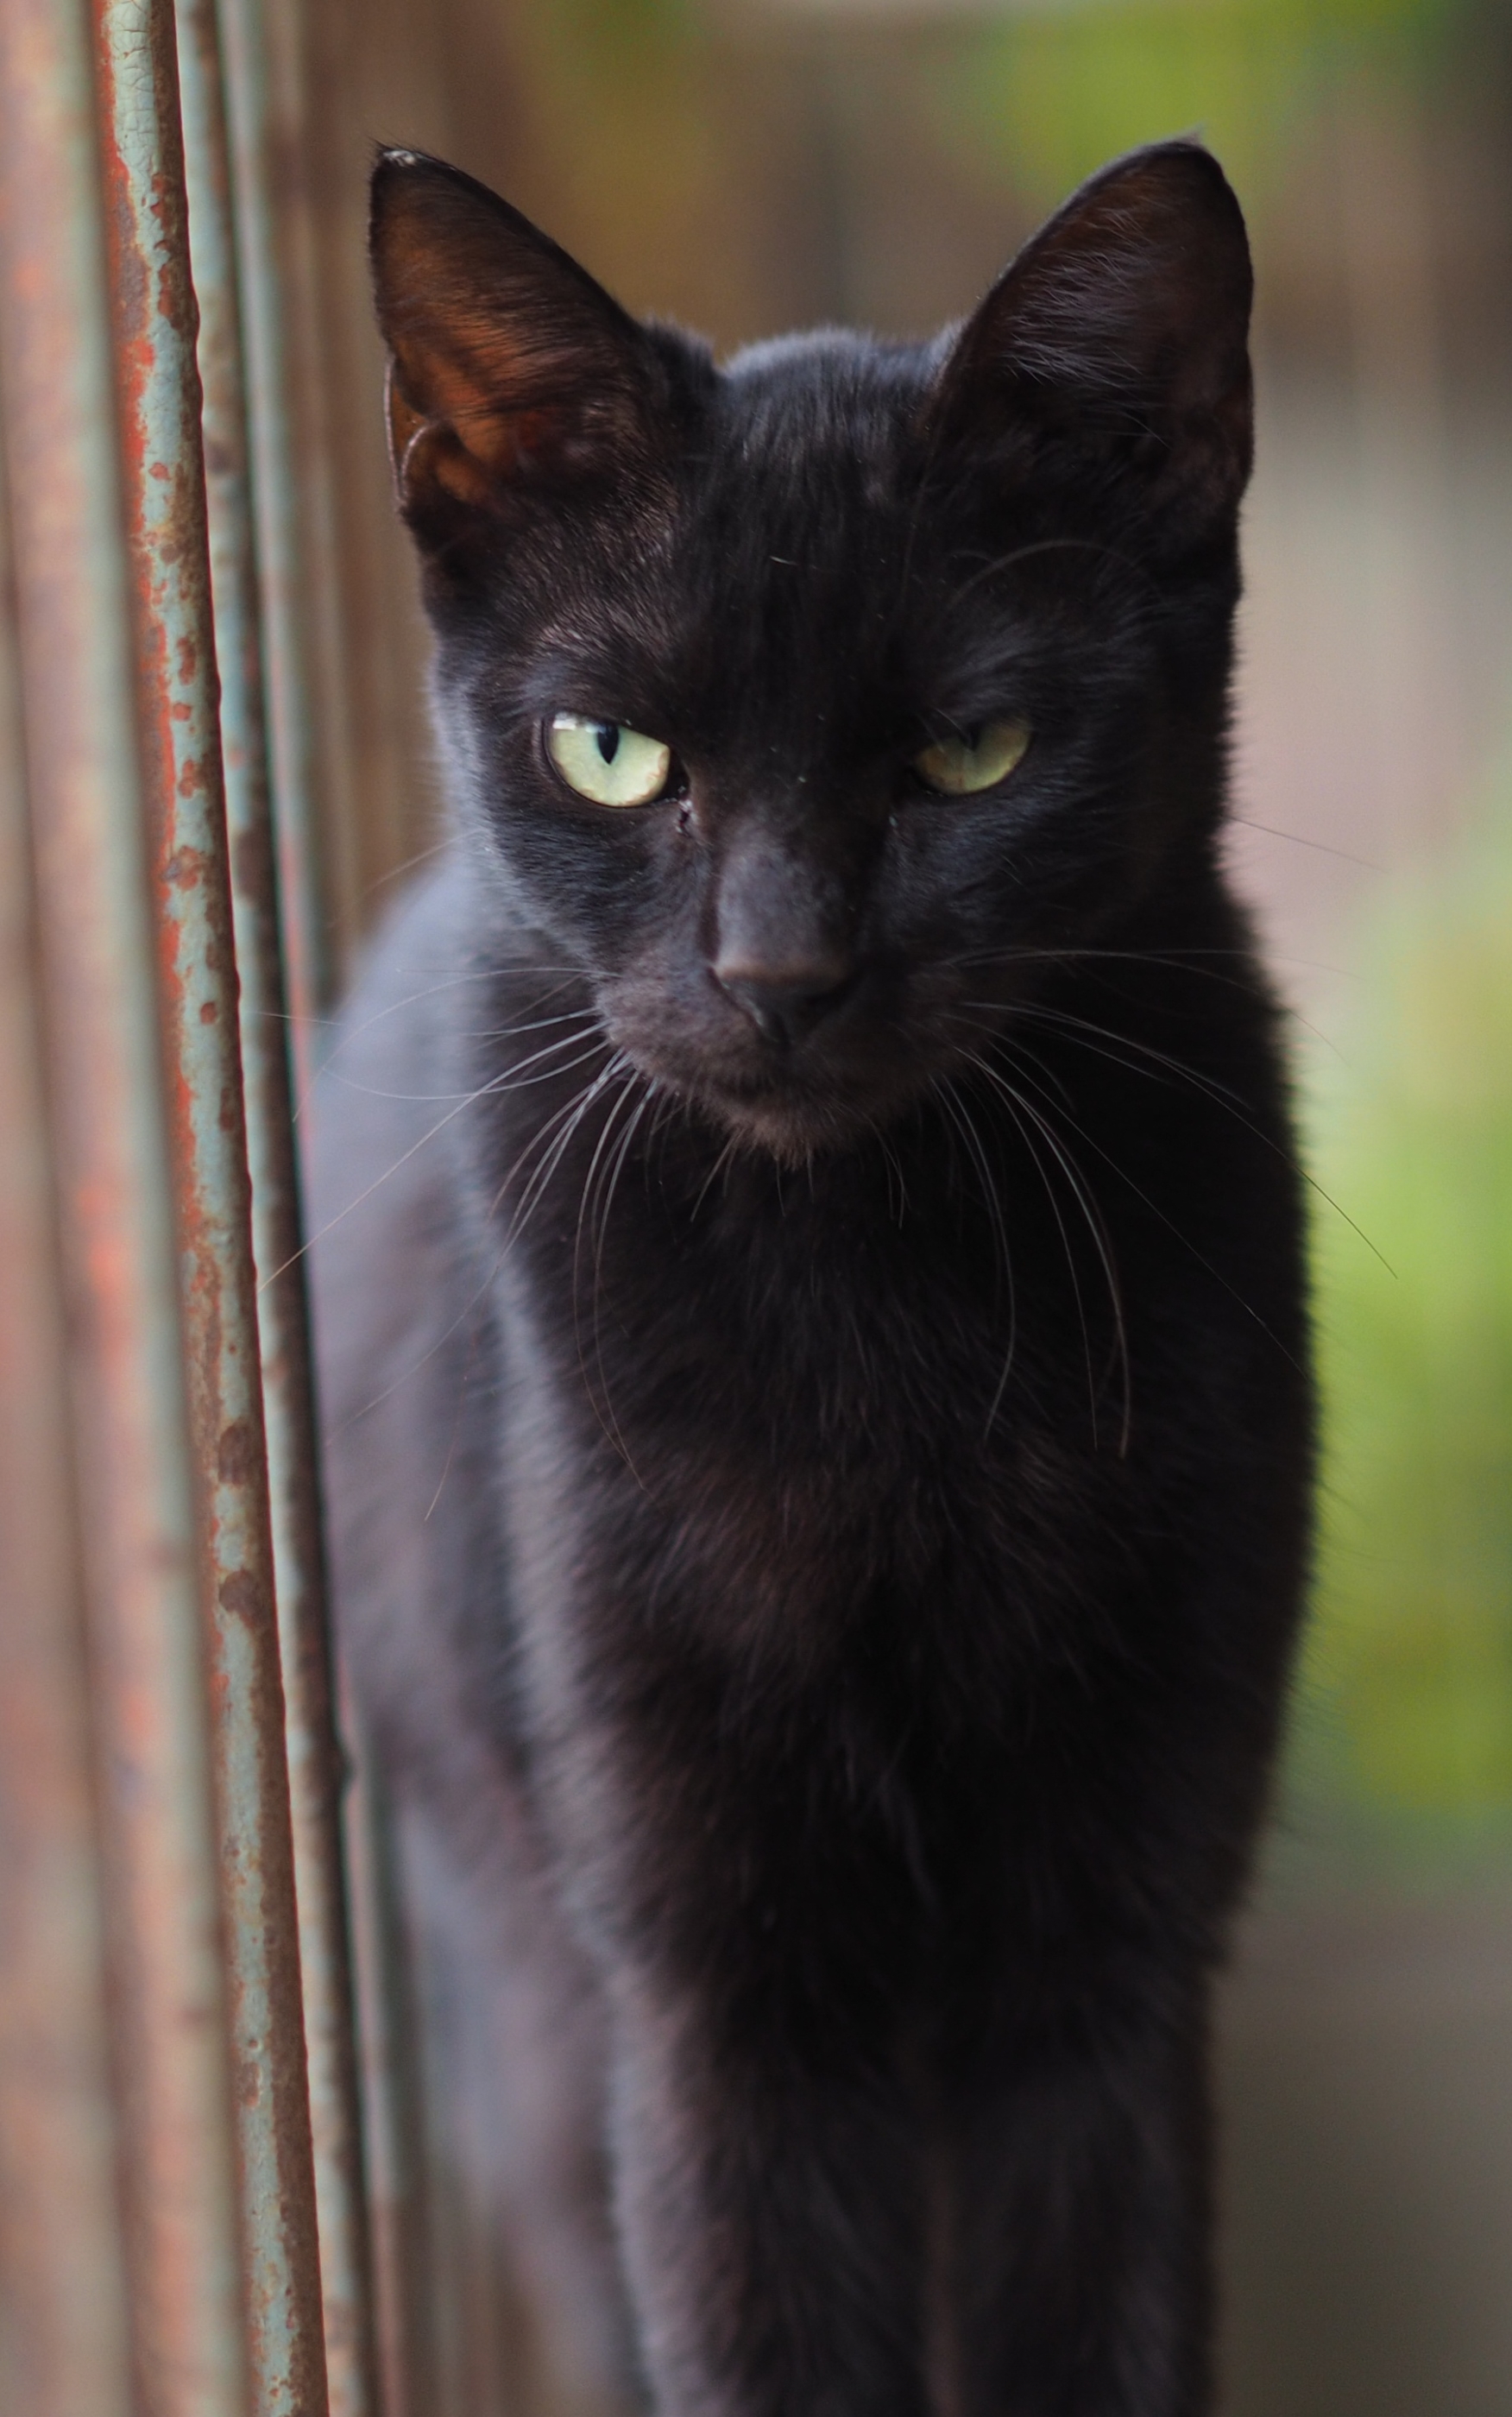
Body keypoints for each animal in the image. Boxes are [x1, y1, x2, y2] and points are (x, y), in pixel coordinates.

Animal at [312, 136, 1314, 2417]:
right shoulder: (707, 1988)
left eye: (973, 753)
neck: (887, 1333)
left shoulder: (1119, 1939)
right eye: (610, 752)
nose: (779, 973)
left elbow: (1098, 2318)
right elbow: (751, 2323)